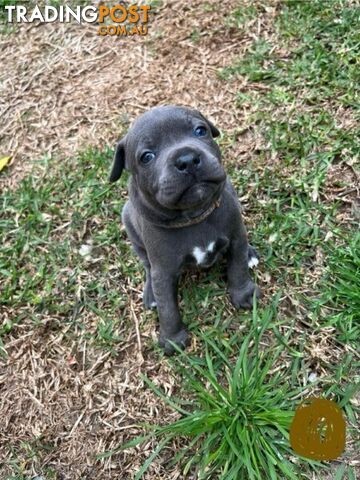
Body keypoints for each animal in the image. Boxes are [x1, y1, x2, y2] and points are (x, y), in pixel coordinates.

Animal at [109, 105, 258, 352]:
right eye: (147, 157)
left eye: (200, 131)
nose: (187, 159)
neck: (193, 217)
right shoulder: (163, 271)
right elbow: (167, 308)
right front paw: (172, 339)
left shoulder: (236, 236)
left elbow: (237, 268)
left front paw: (244, 294)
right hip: (130, 224)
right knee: (146, 265)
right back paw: (150, 294)